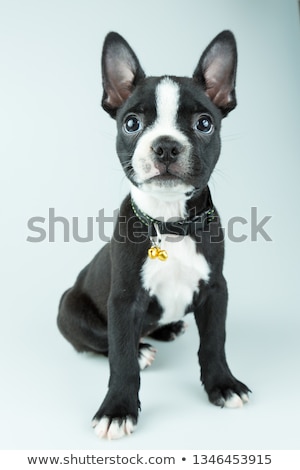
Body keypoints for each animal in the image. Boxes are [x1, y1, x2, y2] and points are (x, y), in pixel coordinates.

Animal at [57, 31, 250, 438]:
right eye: (131, 123)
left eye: (204, 123)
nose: (165, 145)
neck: (170, 221)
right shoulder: (123, 300)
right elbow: (121, 358)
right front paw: (117, 410)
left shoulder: (215, 290)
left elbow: (214, 342)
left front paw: (223, 385)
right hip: (69, 308)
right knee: (101, 342)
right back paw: (142, 347)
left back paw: (167, 328)